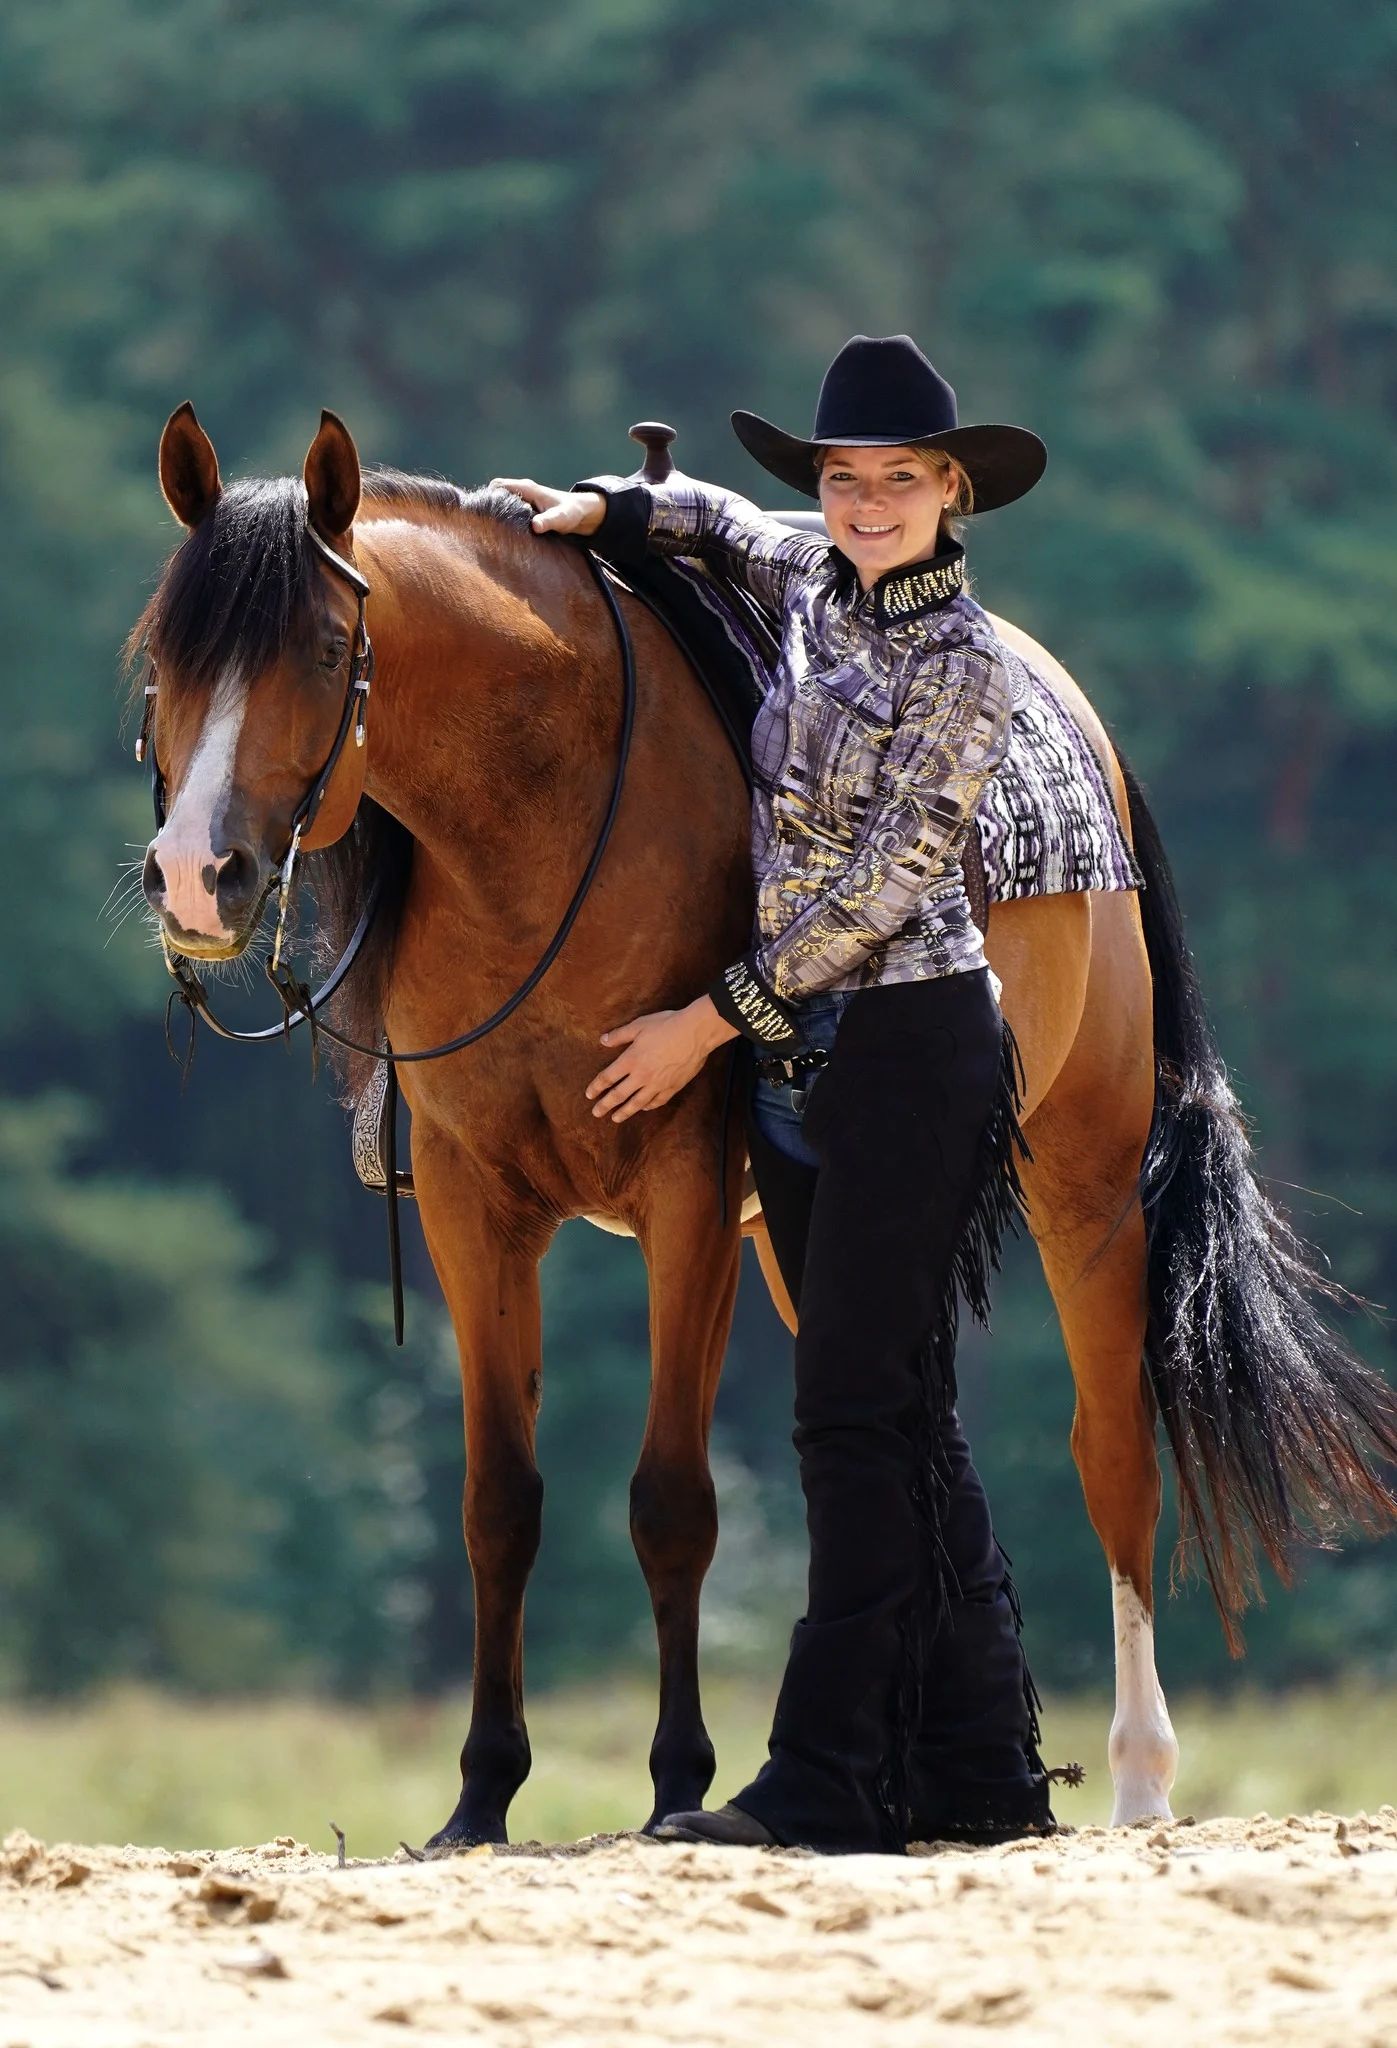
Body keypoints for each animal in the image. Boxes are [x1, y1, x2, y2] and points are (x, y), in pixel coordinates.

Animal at [129, 403, 1397, 1846]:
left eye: (327, 649)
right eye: (165, 654)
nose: (195, 878)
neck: (544, 821)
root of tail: (1069, 710)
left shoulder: (685, 1187)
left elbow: (672, 1501)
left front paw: (681, 1780)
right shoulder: (470, 1202)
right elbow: (498, 1501)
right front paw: (482, 1794)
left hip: (1083, 1181)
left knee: (1112, 1452)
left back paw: (1134, 1782)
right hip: (816, 1244)